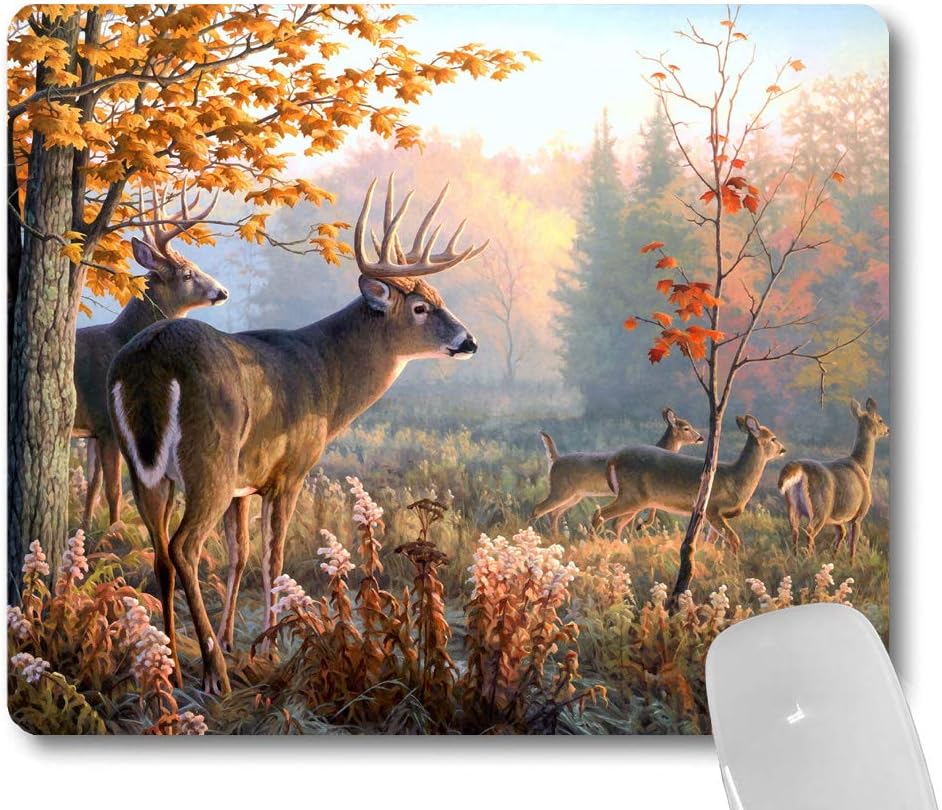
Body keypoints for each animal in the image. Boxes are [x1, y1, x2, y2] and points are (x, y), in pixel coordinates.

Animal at [72, 183, 226, 530]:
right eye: (187, 274)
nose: (222, 291)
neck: (120, 339)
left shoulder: (92, 429)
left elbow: (93, 486)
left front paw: (85, 528)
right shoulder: (107, 423)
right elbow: (114, 488)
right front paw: (114, 530)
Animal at [107, 176, 486, 694]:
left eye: (439, 297)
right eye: (421, 307)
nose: (469, 341)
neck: (325, 378)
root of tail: (149, 358)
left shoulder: (245, 483)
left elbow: (240, 555)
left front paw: (235, 640)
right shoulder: (289, 471)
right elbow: (274, 557)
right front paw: (267, 648)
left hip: (146, 469)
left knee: (162, 553)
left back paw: (171, 665)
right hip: (209, 459)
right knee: (185, 547)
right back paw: (213, 674)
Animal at [530, 407, 703, 537]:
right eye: (686, 427)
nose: (701, 438)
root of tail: (555, 460)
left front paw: (640, 526)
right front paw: (640, 527)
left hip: (574, 496)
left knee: (553, 513)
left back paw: (556, 537)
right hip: (561, 490)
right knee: (539, 509)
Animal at [592, 414, 787, 552]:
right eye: (773, 438)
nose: (784, 449)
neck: (735, 479)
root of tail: (613, 459)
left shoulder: (714, 516)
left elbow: (711, 542)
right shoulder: (712, 509)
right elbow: (734, 539)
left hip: (635, 500)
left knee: (616, 523)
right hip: (632, 496)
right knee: (599, 514)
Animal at [778, 397, 889, 560]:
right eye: (880, 420)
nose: (888, 430)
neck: (863, 466)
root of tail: (799, 468)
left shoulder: (838, 518)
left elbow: (841, 535)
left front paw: (834, 558)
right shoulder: (858, 515)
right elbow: (852, 544)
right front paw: (851, 563)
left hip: (792, 506)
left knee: (794, 530)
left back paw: (796, 557)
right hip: (820, 507)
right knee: (810, 531)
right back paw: (809, 559)